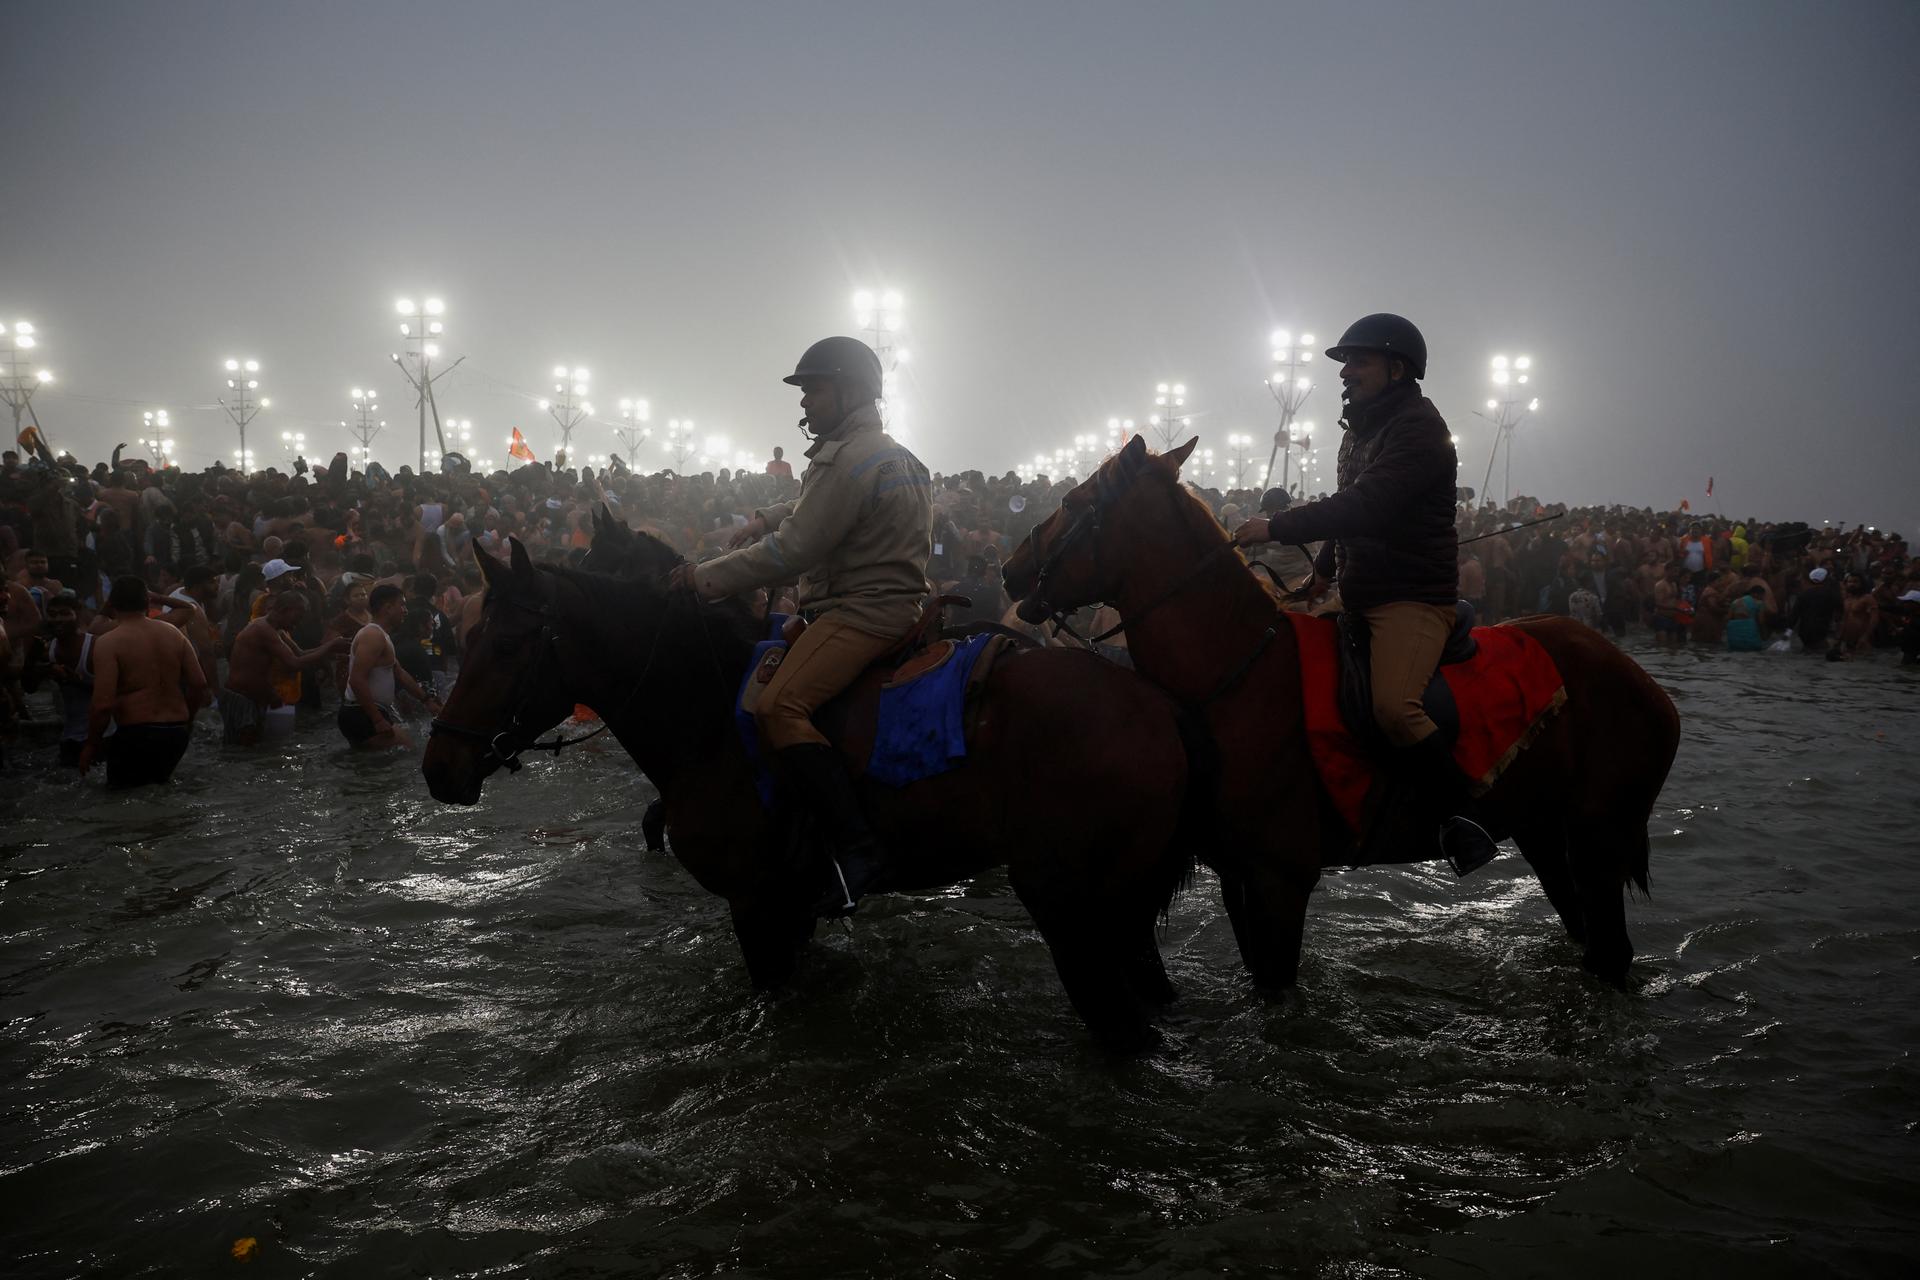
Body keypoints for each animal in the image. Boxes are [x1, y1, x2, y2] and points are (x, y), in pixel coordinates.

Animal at [422, 537, 1198, 1043]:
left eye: (506, 646)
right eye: (465, 638)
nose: (439, 766)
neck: (711, 718)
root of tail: (1154, 704)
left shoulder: (756, 906)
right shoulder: (790, 909)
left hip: (1071, 907)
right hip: (1126, 913)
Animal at [1006, 437, 1681, 990]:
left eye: (1071, 499)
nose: (1011, 571)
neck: (1238, 670)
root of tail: (1634, 676)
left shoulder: (1280, 878)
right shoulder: (1238, 875)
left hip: (1600, 834)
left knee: (1610, 954)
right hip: (1545, 830)